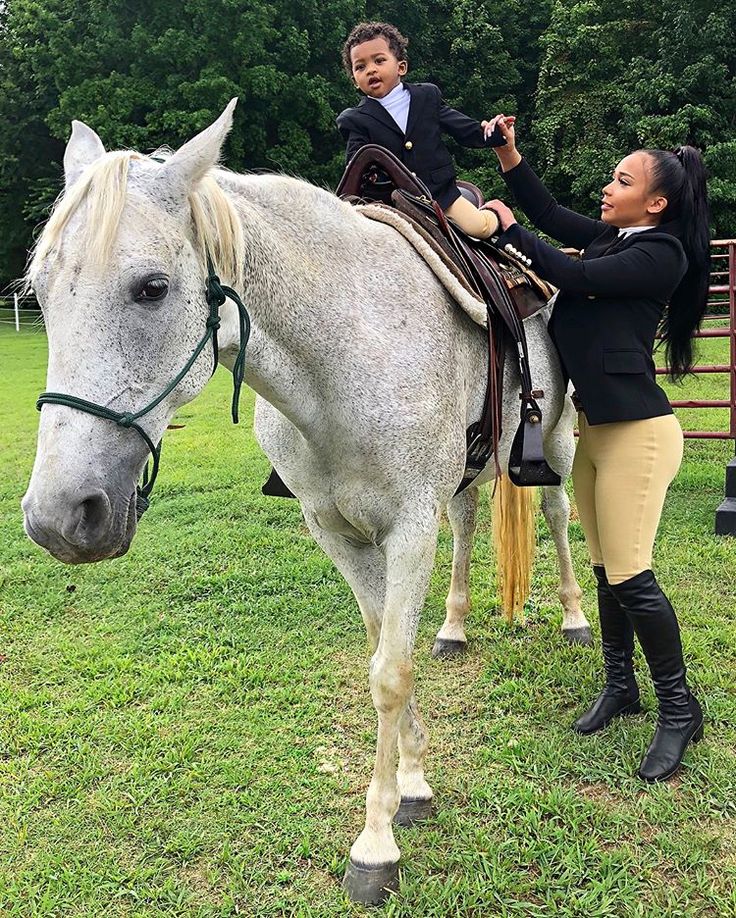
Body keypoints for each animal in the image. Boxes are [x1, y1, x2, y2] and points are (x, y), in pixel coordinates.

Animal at [21, 99, 588, 904]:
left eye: (152, 287)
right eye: (41, 293)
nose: (59, 516)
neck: (344, 353)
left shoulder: (408, 529)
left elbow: (389, 673)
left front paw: (376, 845)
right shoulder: (337, 532)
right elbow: (385, 649)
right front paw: (414, 783)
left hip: (558, 440)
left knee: (560, 517)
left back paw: (573, 616)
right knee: (469, 523)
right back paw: (453, 626)